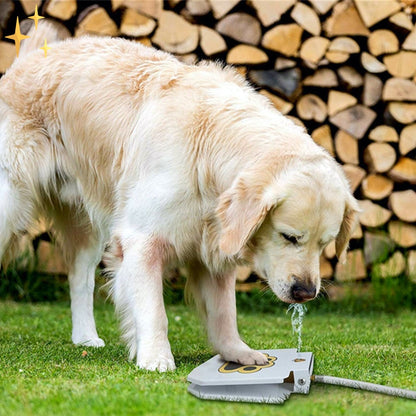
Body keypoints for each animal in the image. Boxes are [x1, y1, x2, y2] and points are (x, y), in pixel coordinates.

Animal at [0, 21, 358, 370]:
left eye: (325, 245)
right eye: (289, 237)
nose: (306, 292)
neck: (211, 145)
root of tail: (30, 56)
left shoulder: (215, 245)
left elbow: (224, 312)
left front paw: (237, 353)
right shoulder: (142, 239)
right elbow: (155, 311)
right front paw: (156, 358)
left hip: (88, 223)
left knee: (80, 278)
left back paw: (86, 337)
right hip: (11, 203)